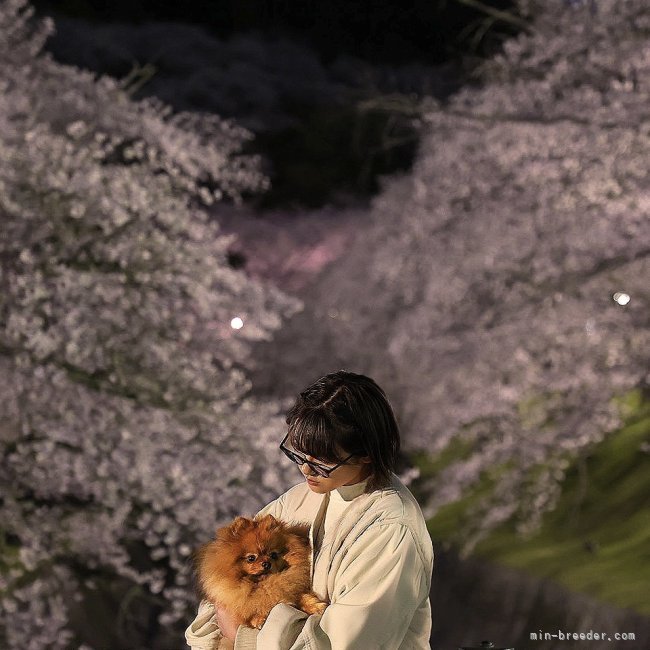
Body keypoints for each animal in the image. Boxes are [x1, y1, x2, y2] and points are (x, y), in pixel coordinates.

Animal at [191, 512, 324, 624]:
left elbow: (303, 597)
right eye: (251, 558)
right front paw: (258, 619)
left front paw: (315, 606)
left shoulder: (292, 590)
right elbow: (250, 611)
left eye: (273, 555)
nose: (266, 563)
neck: (264, 584)